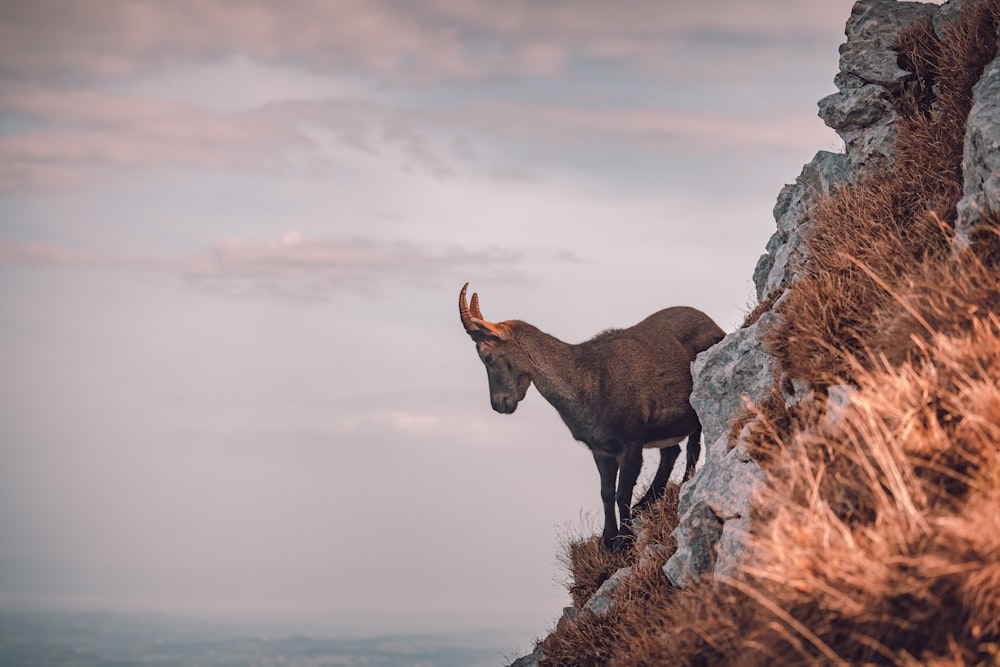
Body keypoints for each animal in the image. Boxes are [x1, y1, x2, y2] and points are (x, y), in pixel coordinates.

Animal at [458, 284, 724, 552]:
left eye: (488, 357)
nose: (498, 405)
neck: (587, 378)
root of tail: (716, 327)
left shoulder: (630, 444)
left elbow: (622, 492)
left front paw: (626, 541)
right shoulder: (601, 449)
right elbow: (606, 493)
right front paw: (609, 540)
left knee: (691, 449)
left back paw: (681, 489)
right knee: (671, 452)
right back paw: (645, 504)